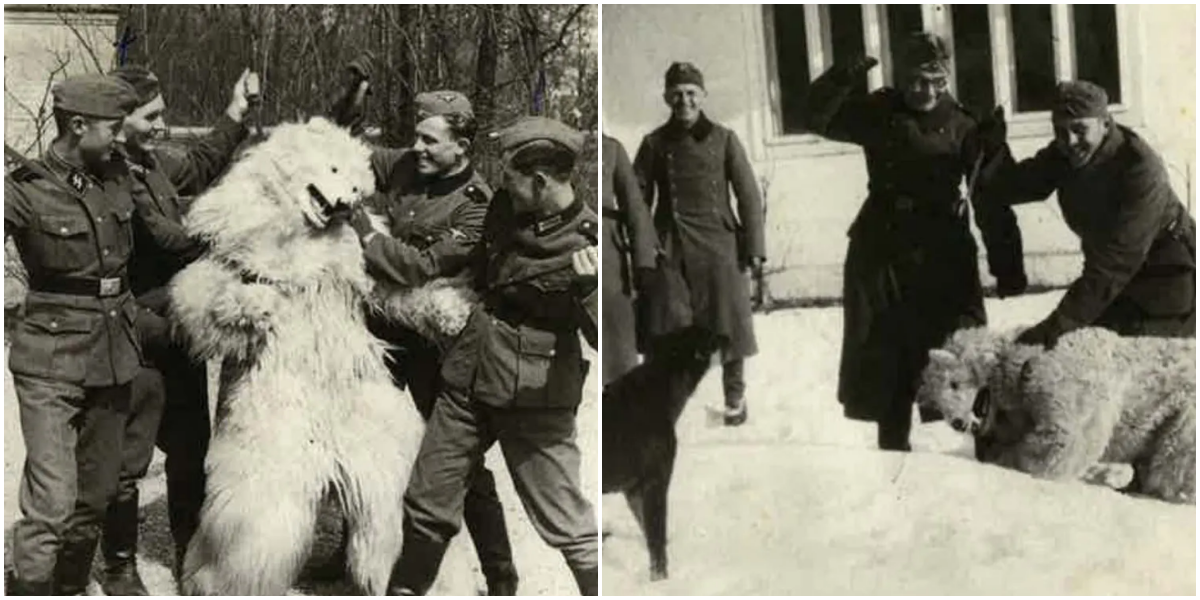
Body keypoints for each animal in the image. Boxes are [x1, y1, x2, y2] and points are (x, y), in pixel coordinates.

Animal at [604, 331, 715, 578]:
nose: (724, 337)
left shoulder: (633, 488)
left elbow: (648, 530)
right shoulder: (655, 480)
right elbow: (656, 538)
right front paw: (660, 578)